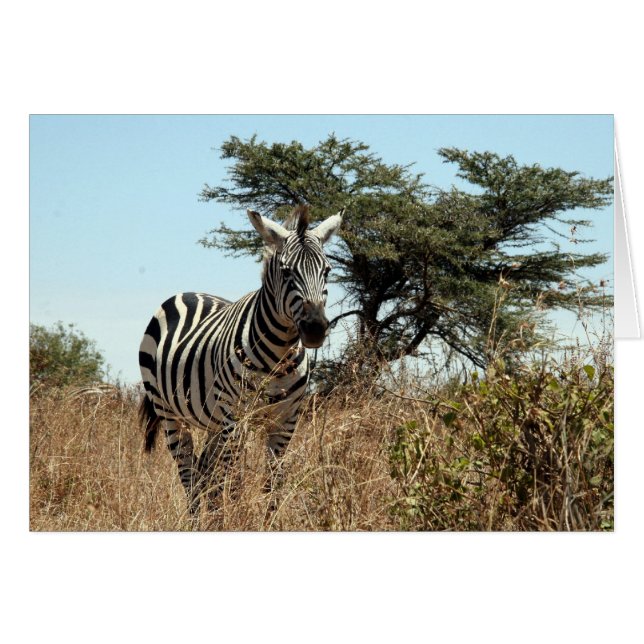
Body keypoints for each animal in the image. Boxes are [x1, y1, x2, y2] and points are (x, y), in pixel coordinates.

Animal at [138, 204, 343, 514]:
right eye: (286, 272)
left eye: (328, 271)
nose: (316, 328)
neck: (278, 357)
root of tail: (186, 293)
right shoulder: (236, 420)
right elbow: (234, 484)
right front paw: (236, 518)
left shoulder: (286, 422)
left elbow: (273, 484)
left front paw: (268, 520)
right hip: (169, 412)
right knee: (189, 473)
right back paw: (197, 518)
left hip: (213, 421)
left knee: (204, 473)